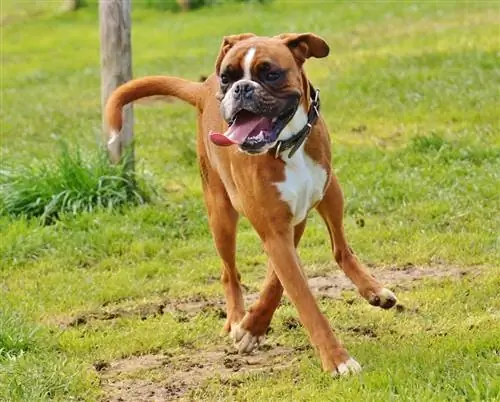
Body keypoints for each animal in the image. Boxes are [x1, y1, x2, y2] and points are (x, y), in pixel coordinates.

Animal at [104, 32, 394, 376]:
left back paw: (373, 289)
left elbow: (276, 283)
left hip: (331, 191)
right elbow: (303, 299)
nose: (241, 88)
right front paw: (337, 359)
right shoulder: (276, 231)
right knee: (229, 273)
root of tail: (203, 89)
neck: (285, 146)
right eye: (228, 77)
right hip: (221, 216)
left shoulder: (294, 220)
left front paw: (255, 327)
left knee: (341, 247)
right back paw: (234, 320)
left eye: (271, 73)